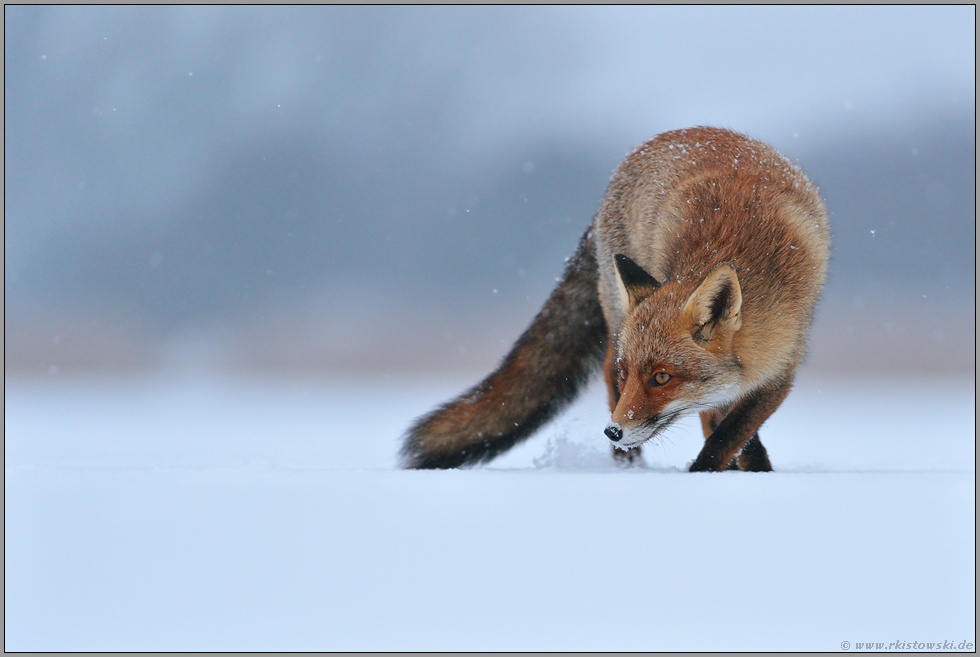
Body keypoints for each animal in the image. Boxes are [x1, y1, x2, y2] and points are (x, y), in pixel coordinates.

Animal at [402, 125, 832, 468]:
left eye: (662, 378)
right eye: (632, 375)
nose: (613, 432)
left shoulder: (780, 369)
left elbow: (730, 436)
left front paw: (746, 475)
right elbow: (723, 433)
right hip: (614, 319)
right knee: (611, 374)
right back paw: (629, 470)